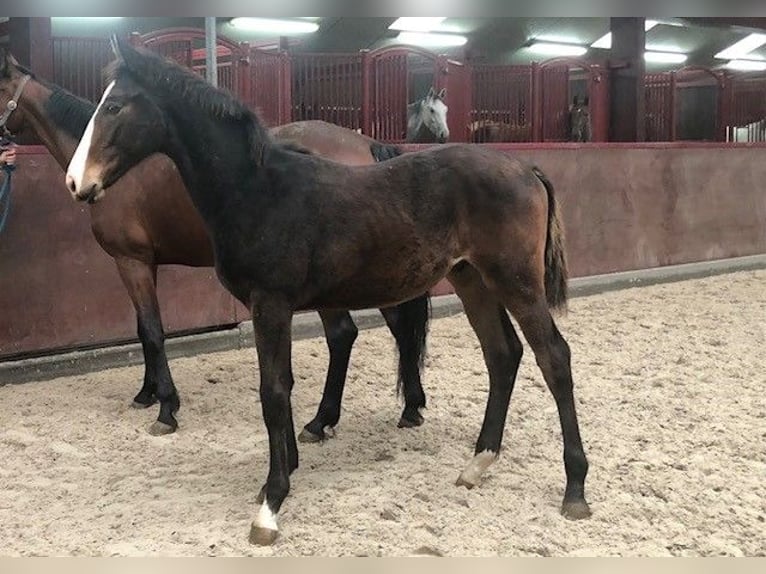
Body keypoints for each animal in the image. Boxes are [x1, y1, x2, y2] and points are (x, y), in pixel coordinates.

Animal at [0, 49, 432, 440]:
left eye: (115, 107)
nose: (77, 183)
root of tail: (368, 147)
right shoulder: (147, 264)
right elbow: (142, 329)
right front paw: (146, 394)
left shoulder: (131, 261)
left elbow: (153, 331)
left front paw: (167, 408)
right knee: (397, 325)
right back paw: (410, 407)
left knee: (345, 334)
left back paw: (322, 421)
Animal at [67, 37, 592, 548]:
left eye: (114, 106)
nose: (77, 182)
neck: (258, 191)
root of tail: (526, 168)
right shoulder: (272, 307)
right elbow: (283, 386)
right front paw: (287, 469)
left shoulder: (270, 304)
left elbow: (273, 392)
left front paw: (271, 503)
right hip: (472, 280)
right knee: (502, 355)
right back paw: (478, 463)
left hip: (515, 280)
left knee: (553, 357)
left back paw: (575, 490)